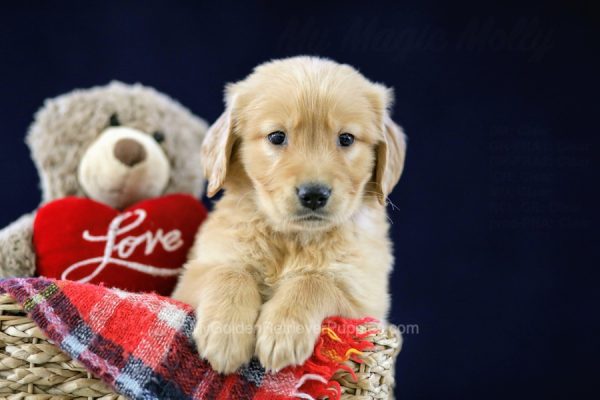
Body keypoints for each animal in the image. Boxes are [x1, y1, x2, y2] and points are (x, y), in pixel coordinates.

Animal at [173, 57, 408, 376]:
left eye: (346, 139)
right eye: (277, 137)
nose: (314, 194)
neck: (293, 238)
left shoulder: (365, 304)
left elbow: (314, 281)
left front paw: (283, 331)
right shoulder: (191, 277)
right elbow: (228, 272)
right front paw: (226, 335)